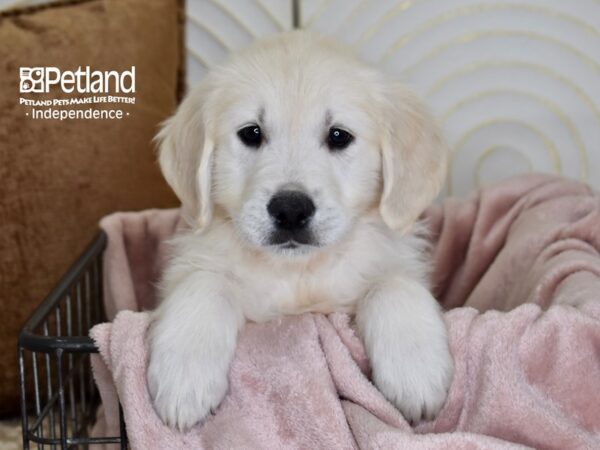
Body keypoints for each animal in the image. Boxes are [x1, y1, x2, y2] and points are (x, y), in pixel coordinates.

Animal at [148, 31, 452, 432]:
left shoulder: (397, 260)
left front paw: (416, 372)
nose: (290, 210)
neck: (299, 273)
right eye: (252, 133)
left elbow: (393, 284)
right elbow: (203, 283)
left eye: (338, 136)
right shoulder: (197, 262)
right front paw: (183, 378)